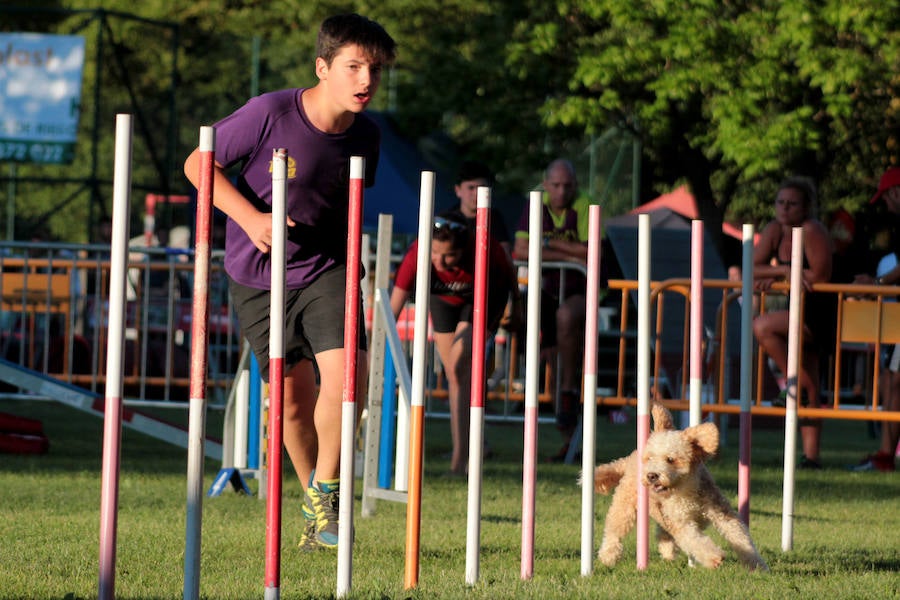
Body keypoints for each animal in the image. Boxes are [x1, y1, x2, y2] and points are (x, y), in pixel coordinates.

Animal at [596, 404, 768, 572]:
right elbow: (695, 540)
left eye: (670, 459)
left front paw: (758, 565)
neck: (685, 490)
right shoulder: (681, 522)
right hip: (624, 505)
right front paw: (714, 557)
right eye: (650, 458)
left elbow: (740, 536)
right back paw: (607, 556)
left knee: (662, 533)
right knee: (613, 530)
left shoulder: (721, 512)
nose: (651, 475)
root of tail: (630, 458)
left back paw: (668, 551)